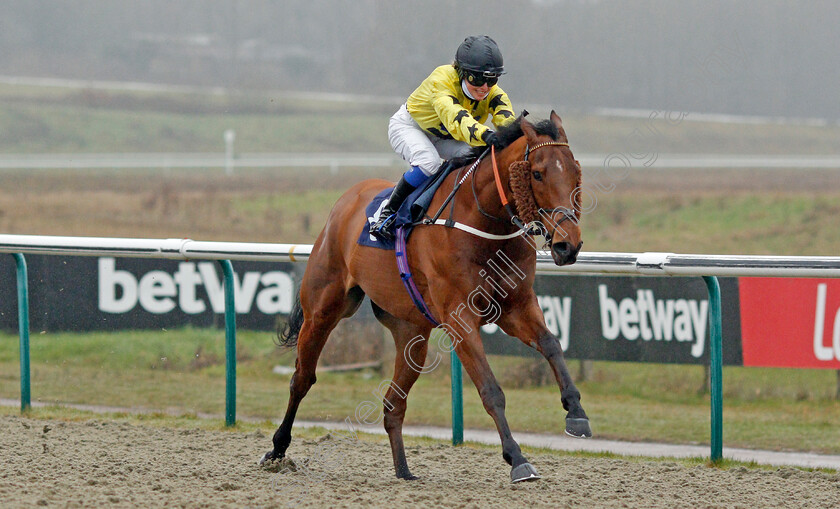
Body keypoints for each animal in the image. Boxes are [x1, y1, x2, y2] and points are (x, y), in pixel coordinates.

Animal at [262, 110, 592, 480]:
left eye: (575, 172)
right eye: (537, 173)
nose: (567, 245)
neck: (484, 223)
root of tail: (347, 200)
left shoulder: (516, 306)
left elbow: (551, 343)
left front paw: (576, 413)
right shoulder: (460, 318)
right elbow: (491, 390)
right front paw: (518, 458)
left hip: (411, 334)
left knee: (393, 404)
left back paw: (404, 470)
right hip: (322, 309)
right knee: (302, 378)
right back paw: (277, 450)